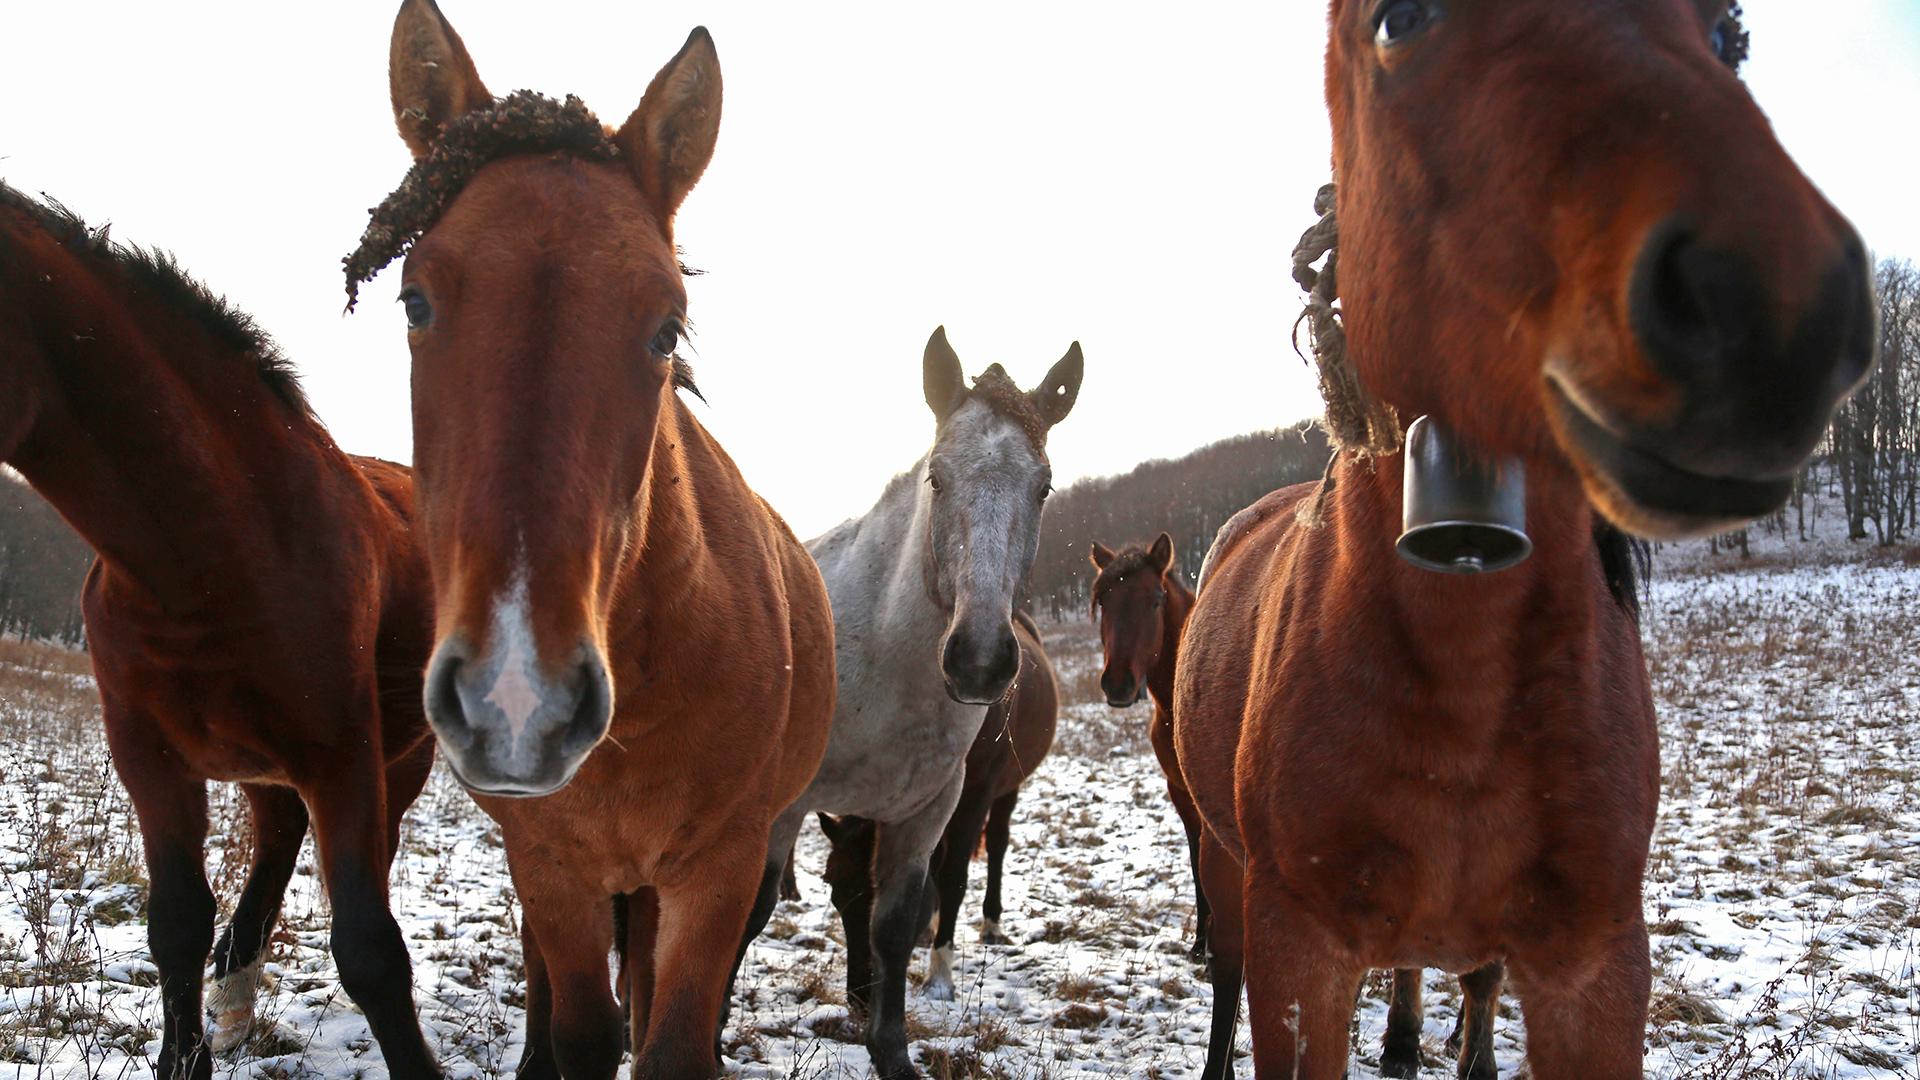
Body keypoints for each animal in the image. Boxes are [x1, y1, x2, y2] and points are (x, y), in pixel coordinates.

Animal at [0, 187, 439, 1076]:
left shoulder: (344, 754)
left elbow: (372, 950)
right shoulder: (149, 755)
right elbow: (176, 920)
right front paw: (184, 1057)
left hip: (392, 761)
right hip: (268, 770)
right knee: (275, 846)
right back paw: (234, 1002)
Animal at [362, 4, 837, 1068]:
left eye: (667, 328)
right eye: (415, 300)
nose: (517, 700)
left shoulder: (719, 871)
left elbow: (672, 1039)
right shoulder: (550, 868)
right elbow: (581, 1027)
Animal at [729, 326, 1082, 1076]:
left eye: (1042, 487)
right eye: (938, 477)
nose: (979, 659)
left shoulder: (926, 813)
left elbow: (895, 926)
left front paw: (889, 1048)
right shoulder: (783, 805)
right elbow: (748, 916)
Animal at [1167, 2, 1873, 1076]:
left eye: (1729, 35)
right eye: (1400, 20)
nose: (1772, 306)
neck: (1464, 683)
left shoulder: (1593, 966)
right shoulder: (1299, 955)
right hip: (1225, 862)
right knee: (1227, 974)